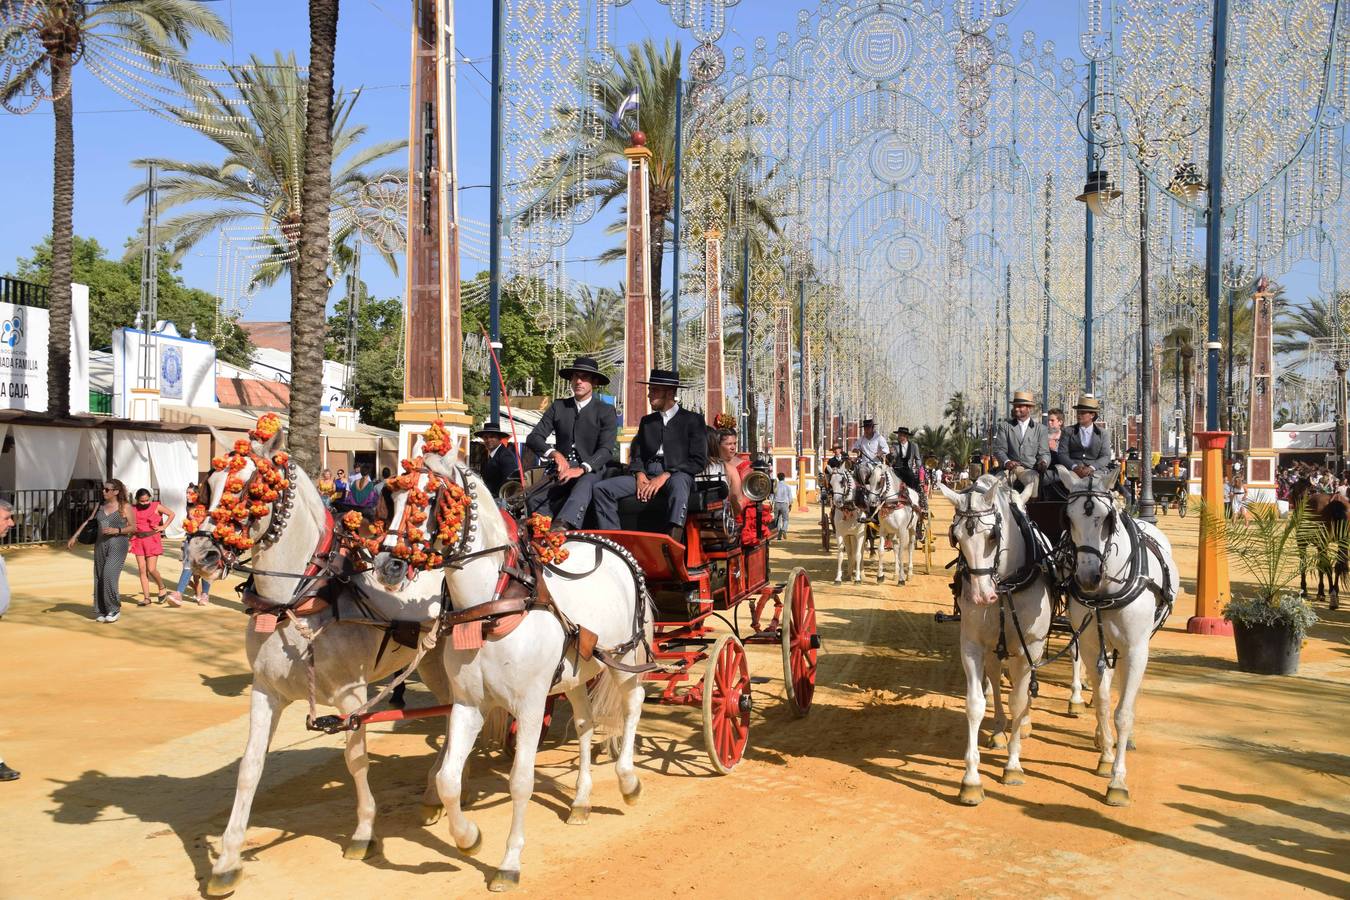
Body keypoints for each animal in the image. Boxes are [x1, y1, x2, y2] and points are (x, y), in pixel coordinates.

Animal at [191, 429, 453, 895]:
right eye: (209, 487)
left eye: (246, 490)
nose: (199, 554)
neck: (300, 599)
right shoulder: (265, 692)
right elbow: (249, 768)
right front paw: (226, 858)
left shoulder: (352, 698)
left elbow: (356, 760)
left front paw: (363, 832)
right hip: (431, 664)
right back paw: (433, 793)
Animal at [413, 453, 656, 890]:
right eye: (390, 494)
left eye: (430, 498)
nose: (388, 564)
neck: (492, 608)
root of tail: (613, 546)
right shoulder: (468, 704)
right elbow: (448, 779)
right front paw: (468, 837)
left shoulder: (528, 706)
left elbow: (521, 781)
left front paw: (509, 862)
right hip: (577, 670)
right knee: (585, 723)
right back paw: (581, 801)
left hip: (627, 659)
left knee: (633, 706)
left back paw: (628, 780)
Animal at [939, 477, 1053, 804]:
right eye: (956, 538)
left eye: (993, 535)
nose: (981, 596)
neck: (1004, 586)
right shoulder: (973, 647)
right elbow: (976, 703)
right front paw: (971, 780)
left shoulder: (1029, 648)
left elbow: (1019, 699)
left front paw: (1013, 766)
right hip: (993, 650)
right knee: (995, 679)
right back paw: (1000, 730)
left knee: (1022, 690)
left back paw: (1022, 725)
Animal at [1058, 469, 1177, 804]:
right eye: (1068, 518)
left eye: (1108, 519)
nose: (1087, 577)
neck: (1105, 592)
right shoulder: (1089, 644)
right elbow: (1101, 701)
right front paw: (1106, 755)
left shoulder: (1135, 648)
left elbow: (1123, 712)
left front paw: (1118, 781)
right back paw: (1103, 738)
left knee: (1127, 691)